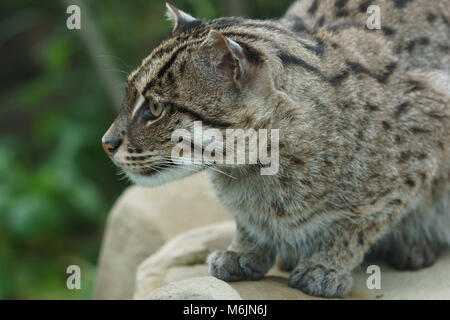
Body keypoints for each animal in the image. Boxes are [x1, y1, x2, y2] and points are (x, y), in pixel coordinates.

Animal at [102, 0, 450, 298]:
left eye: (156, 108)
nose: (106, 143)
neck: (258, 169)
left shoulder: (429, 130)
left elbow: (364, 219)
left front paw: (326, 264)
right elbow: (245, 218)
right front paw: (246, 249)